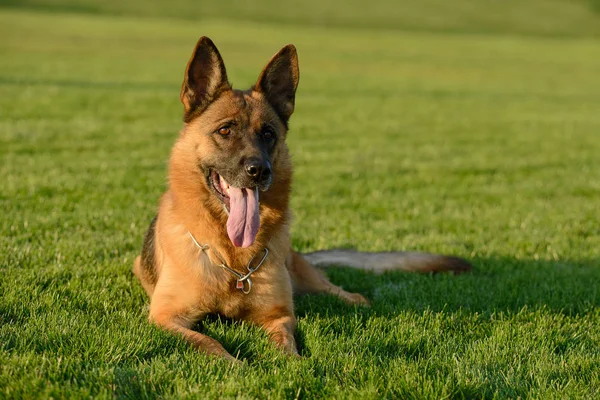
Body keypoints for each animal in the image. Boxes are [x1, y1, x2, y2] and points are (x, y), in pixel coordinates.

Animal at [134, 38, 472, 362]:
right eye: (225, 130)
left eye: (268, 134)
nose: (259, 170)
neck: (234, 262)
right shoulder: (166, 317)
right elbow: (207, 342)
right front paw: (235, 365)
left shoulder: (279, 315)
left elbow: (286, 347)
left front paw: (290, 366)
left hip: (308, 277)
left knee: (341, 292)